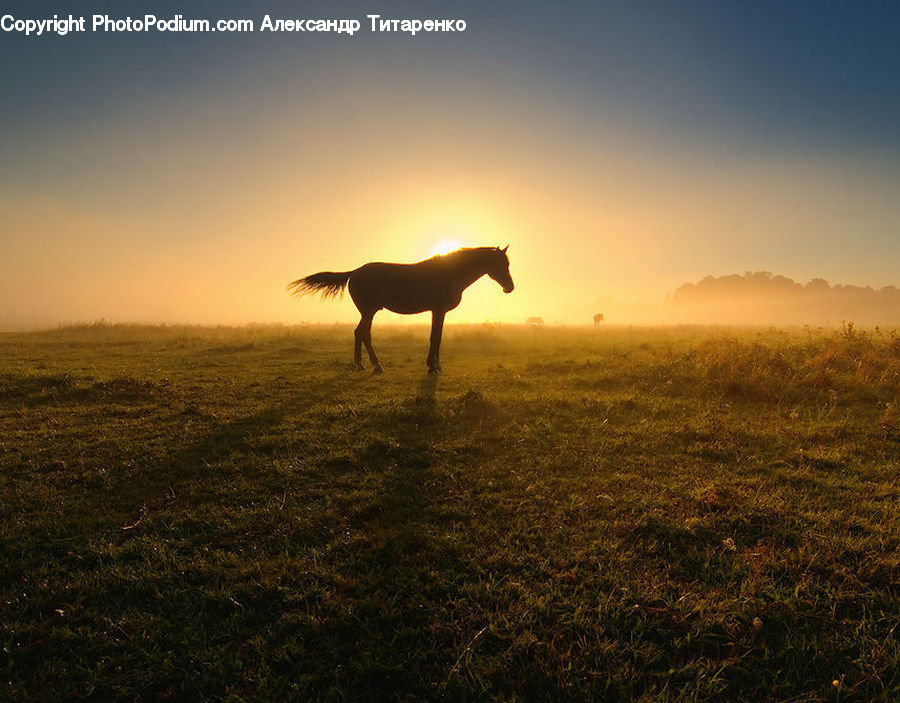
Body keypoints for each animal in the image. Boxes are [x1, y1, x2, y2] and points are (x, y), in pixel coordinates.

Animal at [288, 246, 514, 374]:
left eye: (507, 264)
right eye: (500, 264)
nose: (509, 287)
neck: (449, 273)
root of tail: (355, 272)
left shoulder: (438, 312)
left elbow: (438, 337)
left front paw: (436, 365)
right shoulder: (438, 310)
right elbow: (435, 338)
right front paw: (434, 367)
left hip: (368, 312)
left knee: (360, 333)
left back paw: (362, 364)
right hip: (369, 311)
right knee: (362, 333)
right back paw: (374, 365)